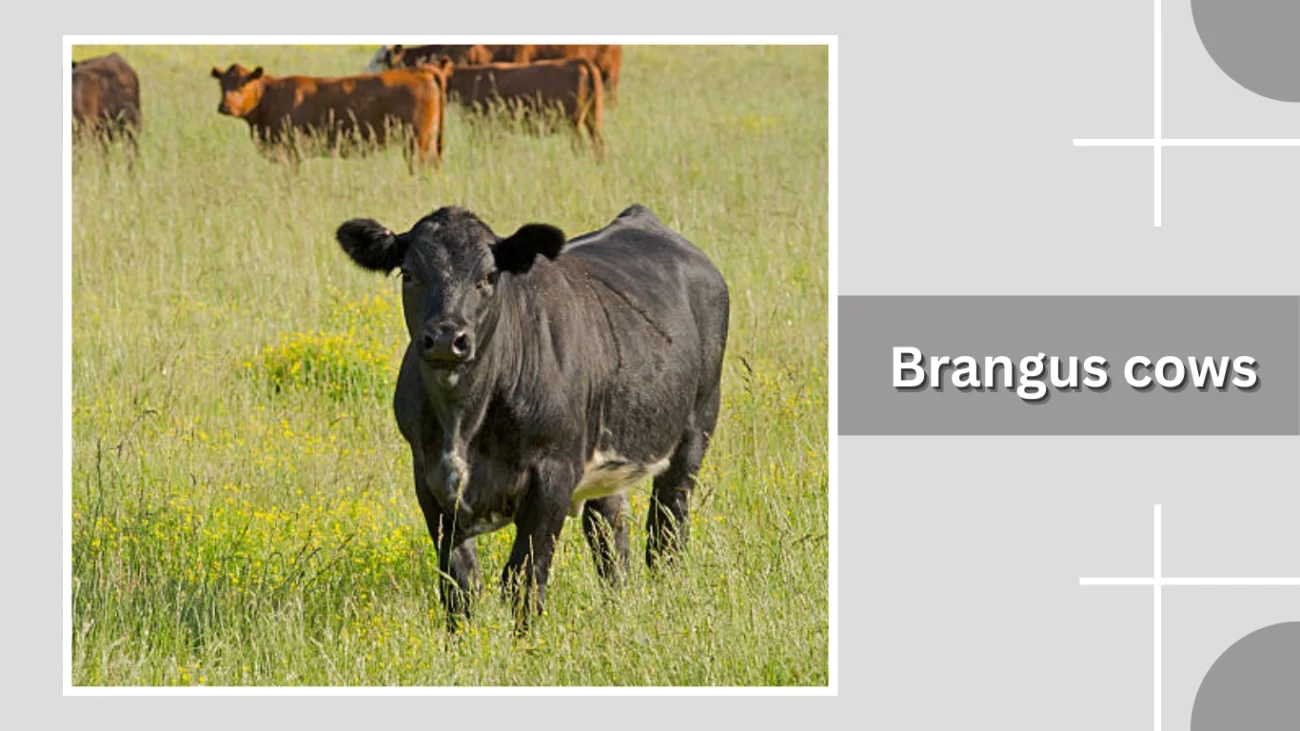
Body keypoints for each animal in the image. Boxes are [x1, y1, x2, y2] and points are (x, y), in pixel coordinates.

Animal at [209, 63, 447, 171]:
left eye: (243, 84)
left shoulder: (291, 151)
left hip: (417, 142)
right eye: (222, 85)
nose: (224, 106)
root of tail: (417, 70)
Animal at [334, 204, 730, 633]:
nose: (445, 339)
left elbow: (524, 576)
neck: (463, 423)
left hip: (697, 426)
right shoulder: (428, 478)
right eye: (409, 274)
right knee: (609, 532)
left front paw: (526, 643)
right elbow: (459, 582)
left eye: (488, 277)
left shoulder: (552, 475)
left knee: (667, 525)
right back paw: (619, 605)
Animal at [444, 58, 605, 159]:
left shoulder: (483, 126)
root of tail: (578, 61)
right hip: (592, 119)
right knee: (598, 143)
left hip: (573, 123)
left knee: (580, 146)